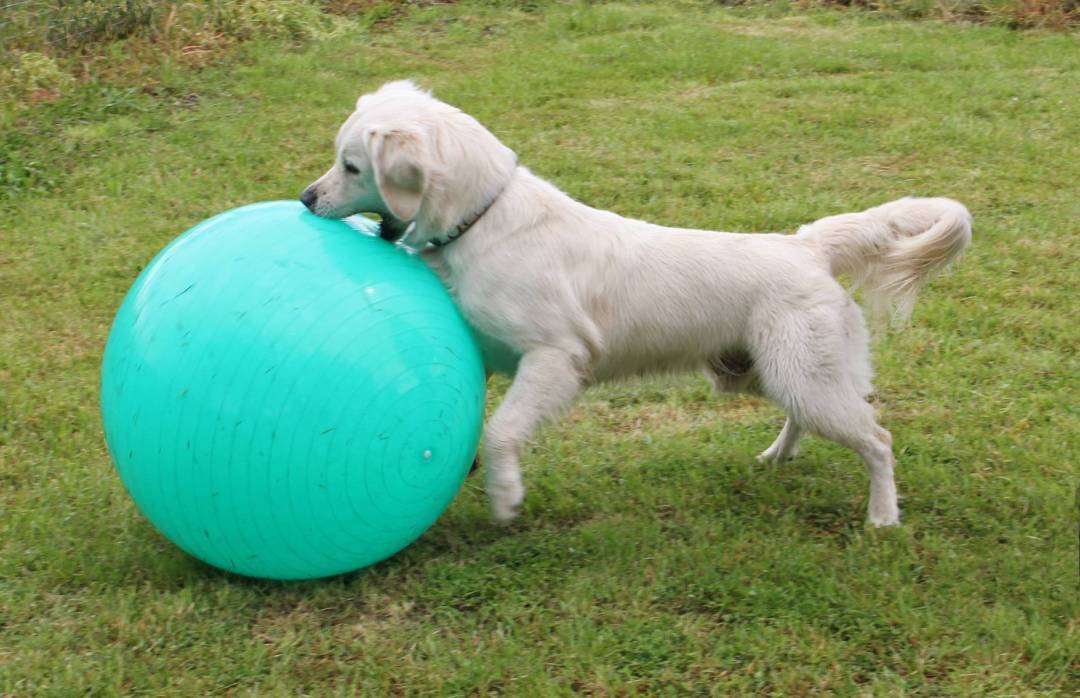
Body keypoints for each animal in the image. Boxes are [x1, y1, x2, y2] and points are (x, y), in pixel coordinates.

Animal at [300, 79, 976, 527]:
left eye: (351, 165)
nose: (306, 198)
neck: (484, 220)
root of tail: (805, 245)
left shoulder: (554, 357)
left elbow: (499, 430)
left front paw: (505, 495)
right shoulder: (490, 353)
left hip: (802, 375)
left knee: (879, 439)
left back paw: (883, 517)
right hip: (773, 373)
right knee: (813, 418)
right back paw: (778, 457)